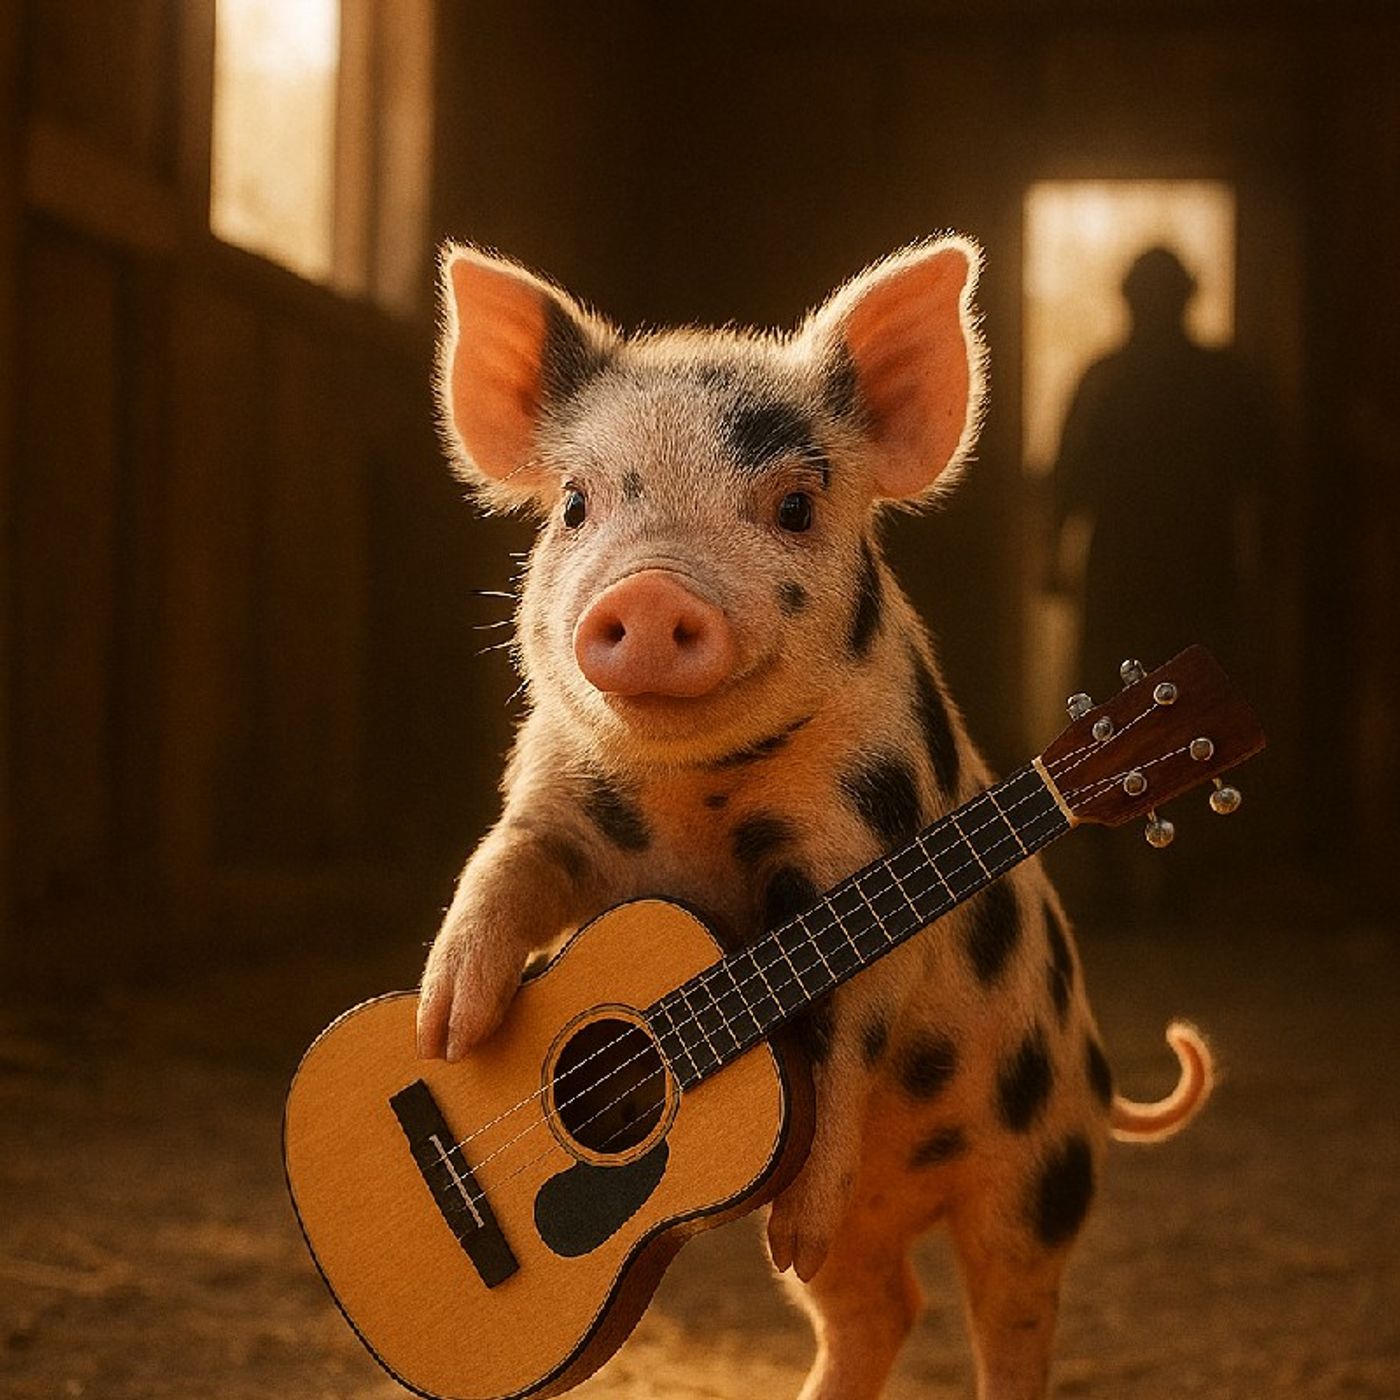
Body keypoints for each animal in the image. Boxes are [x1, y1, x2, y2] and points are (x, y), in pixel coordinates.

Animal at [416, 237, 1214, 1400]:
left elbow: (846, 1031)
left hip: (1039, 1176)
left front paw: (789, 1221)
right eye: (573, 503)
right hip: (884, 1239)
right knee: (878, 1307)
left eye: (793, 507)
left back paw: (812, 1242)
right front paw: (442, 1030)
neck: (693, 801)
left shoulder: (858, 852)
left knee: (1009, 1314)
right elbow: (501, 869)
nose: (649, 595)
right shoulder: (553, 802)